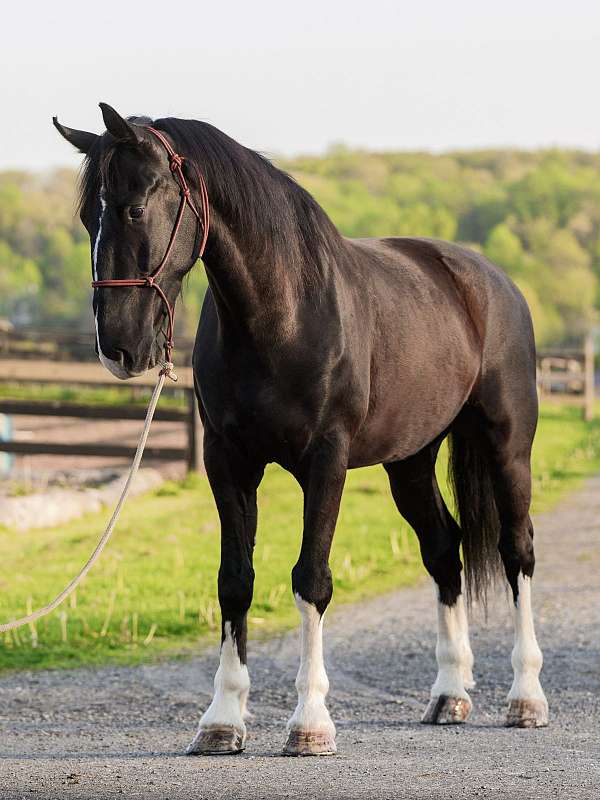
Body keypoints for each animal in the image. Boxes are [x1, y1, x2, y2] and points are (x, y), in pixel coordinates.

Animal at [53, 103, 548, 756]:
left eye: (135, 206)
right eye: (90, 215)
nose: (118, 348)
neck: (281, 313)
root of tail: (489, 279)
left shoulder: (326, 461)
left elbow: (311, 579)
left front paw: (309, 724)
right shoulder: (228, 462)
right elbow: (235, 582)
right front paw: (221, 721)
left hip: (507, 444)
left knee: (516, 551)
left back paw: (526, 698)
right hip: (410, 462)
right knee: (445, 550)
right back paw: (449, 695)